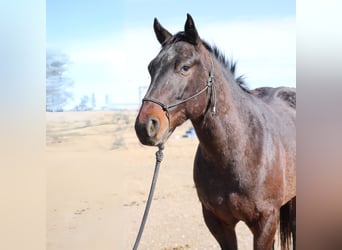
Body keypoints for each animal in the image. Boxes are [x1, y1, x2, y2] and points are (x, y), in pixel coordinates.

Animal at [135, 14, 296, 250]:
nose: (145, 126)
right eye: (150, 68)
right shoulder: (217, 222)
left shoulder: (266, 222)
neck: (239, 152)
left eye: (185, 67)